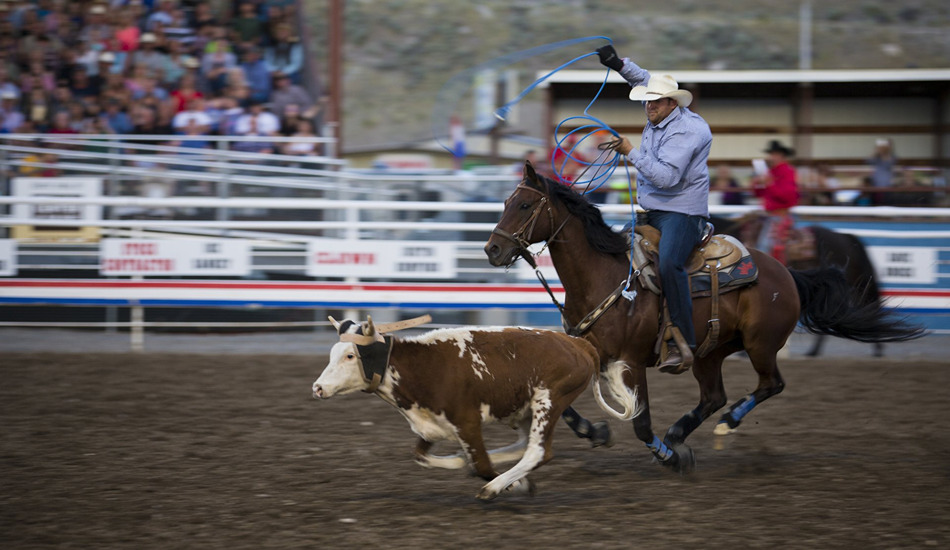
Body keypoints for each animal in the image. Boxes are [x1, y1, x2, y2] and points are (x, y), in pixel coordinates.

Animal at [312, 316, 640, 502]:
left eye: (350, 355)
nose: (317, 387)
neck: (421, 367)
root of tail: (578, 344)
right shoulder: (432, 425)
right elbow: (422, 456)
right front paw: (466, 464)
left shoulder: (466, 422)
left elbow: (481, 463)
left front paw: (511, 485)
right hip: (524, 409)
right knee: (523, 445)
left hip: (549, 400)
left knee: (537, 451)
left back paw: (495, 486)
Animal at [484, 164, 924, 474]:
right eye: (505, 203)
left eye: (524, 205)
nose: (492, 249)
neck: (605, 277)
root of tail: (785, 272)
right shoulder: (588, 356)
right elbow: (557, 404)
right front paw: (597, 432)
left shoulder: (632, 362)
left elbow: (641, 423)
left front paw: (669, 458)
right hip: (710, 352)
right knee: (714, 396)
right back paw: (681, 432)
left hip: (761, 344)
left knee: (770, 385)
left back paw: (723, 425)